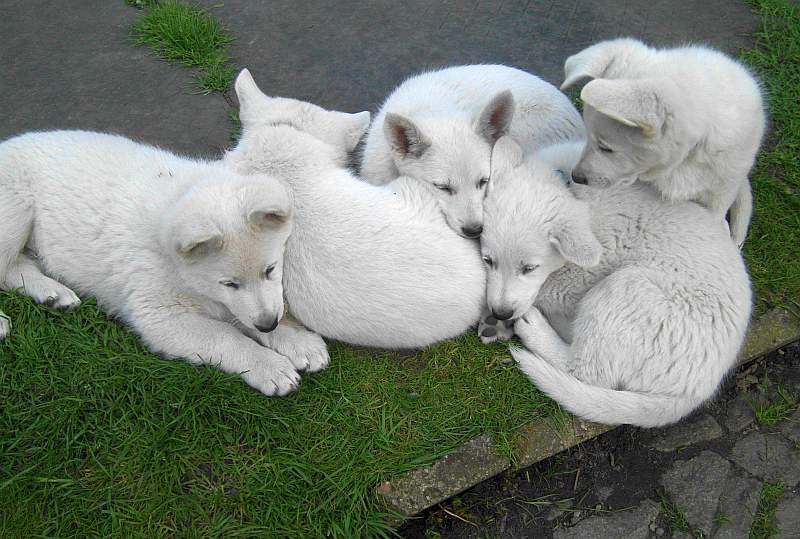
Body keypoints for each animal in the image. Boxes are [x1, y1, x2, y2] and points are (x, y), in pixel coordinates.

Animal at [0, 132, 324, 396]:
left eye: (270, 270)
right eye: (229, 283)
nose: (268, 324)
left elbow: (241, 314)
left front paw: (296, 340)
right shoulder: (161, 315)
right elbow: (226, 337)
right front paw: (269, 366)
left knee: (14, 269)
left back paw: (53, 294)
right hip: (15, 208)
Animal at [482, 138, 752, 426]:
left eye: (529, 268)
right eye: (488, 260)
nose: (500, 313)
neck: (568, 186)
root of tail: (694, 392)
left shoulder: (586, 269)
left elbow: (549, 288)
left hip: (626, 289)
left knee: (583, 370)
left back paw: (535, 329)